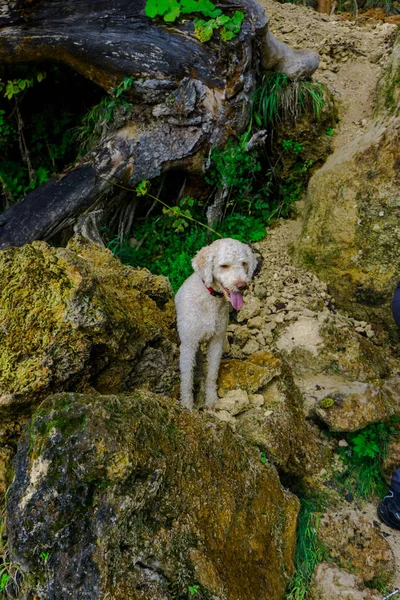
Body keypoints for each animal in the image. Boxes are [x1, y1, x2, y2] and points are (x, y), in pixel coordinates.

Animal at [174, 237, 256, 410]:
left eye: (244, 263)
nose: (242, 285)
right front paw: (187, 405)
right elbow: (186, 378)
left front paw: (211, 400)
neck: (209, 298)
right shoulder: (188, 343)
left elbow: (212, 373)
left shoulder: (217, 341)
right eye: (224, 265)